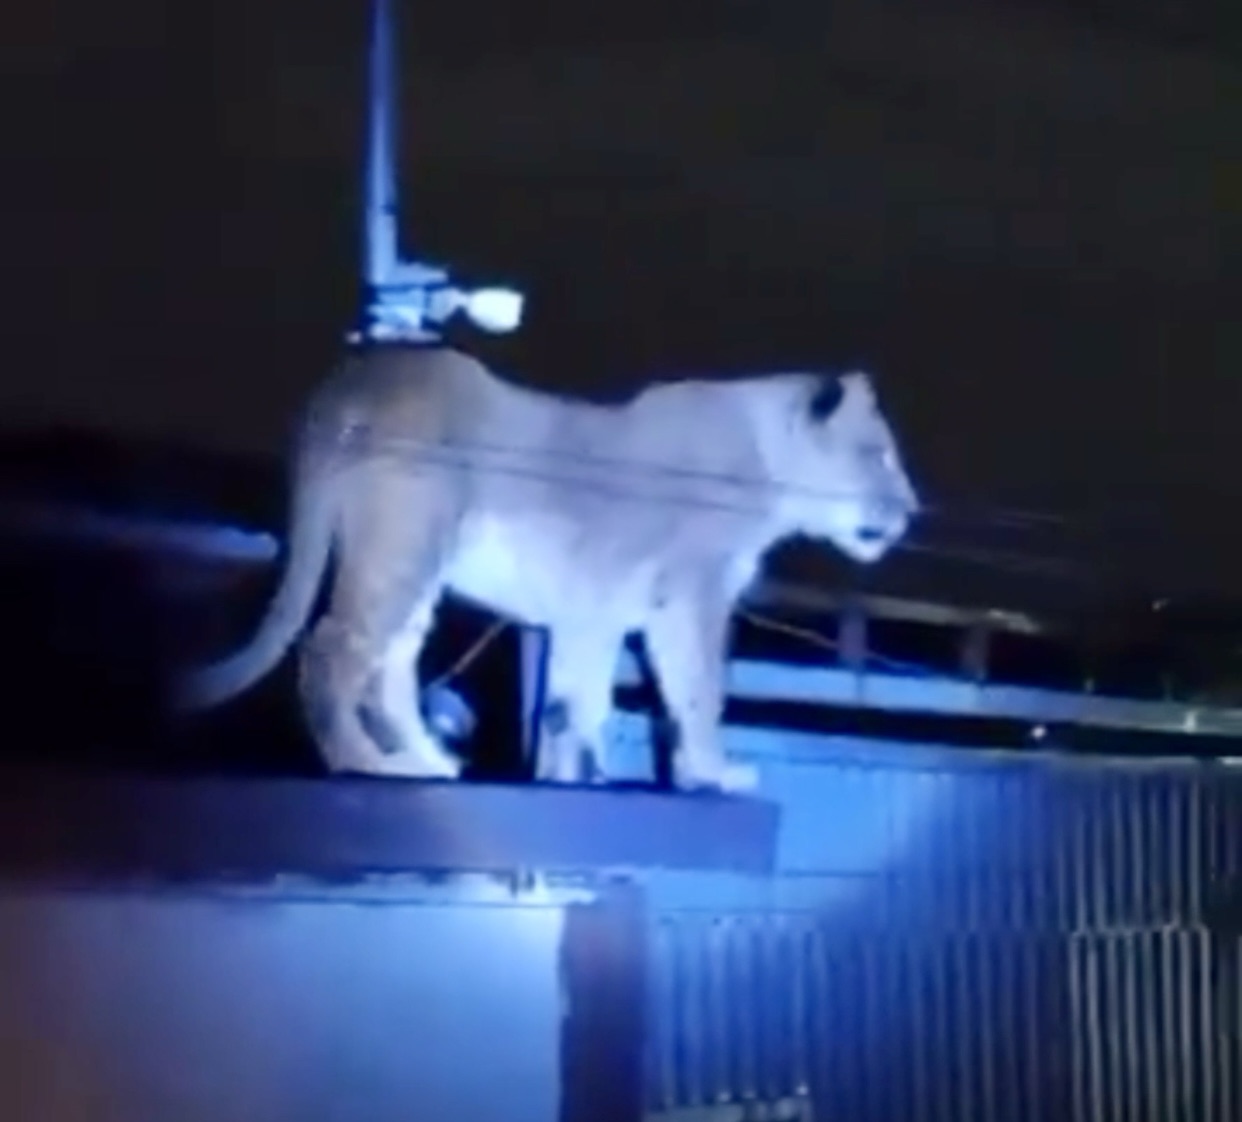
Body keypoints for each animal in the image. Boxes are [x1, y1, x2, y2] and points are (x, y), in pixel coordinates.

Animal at [178, 346, 919, 793]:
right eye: (880, 454)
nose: (911, 510)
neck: (771, 472)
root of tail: (354, 375)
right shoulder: (693, 596)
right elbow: (699, 689)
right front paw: (715, 773)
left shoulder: (598, 608)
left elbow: (579, 702)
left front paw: (582, 777)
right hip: (404, 545)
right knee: (333, 648)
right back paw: (358, 763)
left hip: (417, 567)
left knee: (392, 667)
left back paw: (421, 763)